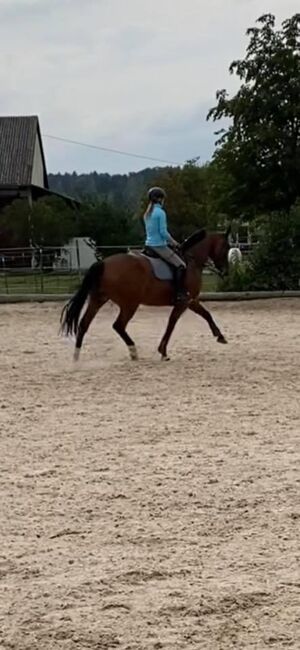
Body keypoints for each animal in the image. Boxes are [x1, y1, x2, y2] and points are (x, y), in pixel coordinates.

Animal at [60, 228, 230, 360]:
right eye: (226, 247)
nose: (225, 271)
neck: (191, 260)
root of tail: (103, 263)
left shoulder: (191, 300)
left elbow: (206, 314)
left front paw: (220, 336)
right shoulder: (184, 301)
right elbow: (172, 323)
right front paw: (163, 351)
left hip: (98, 299)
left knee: (84, 324)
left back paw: (76, 357)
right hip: (129, 304)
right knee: (118, 325)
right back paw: (133, 352)